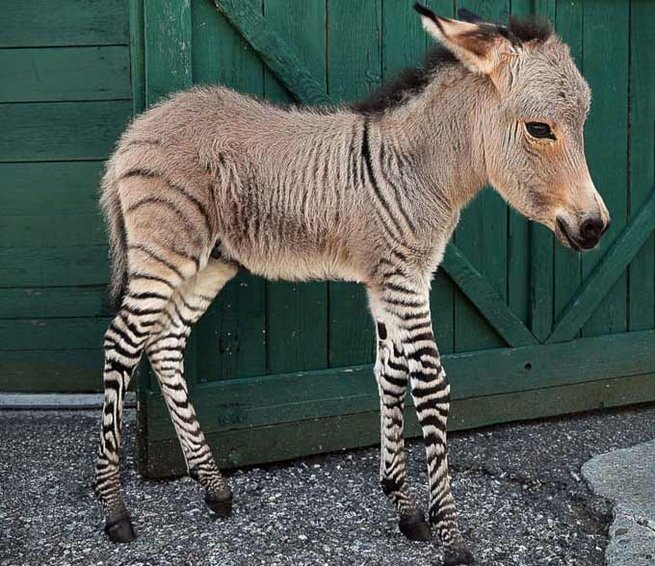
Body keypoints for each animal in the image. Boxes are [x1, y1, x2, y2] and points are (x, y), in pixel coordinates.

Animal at [95, 4, 610, 565]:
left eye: (583, 125)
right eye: (539, 129)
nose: (596, 228)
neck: (420, 170)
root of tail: (136, 129)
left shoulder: (390, 281)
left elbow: (390, 375)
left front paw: (404, 506)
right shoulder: (404, 278)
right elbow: (431, 385)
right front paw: (450, 535)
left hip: (210, 260)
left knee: (164, 345)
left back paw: (214, 489)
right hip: (165, 250)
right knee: (122, 343)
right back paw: (115, 511)